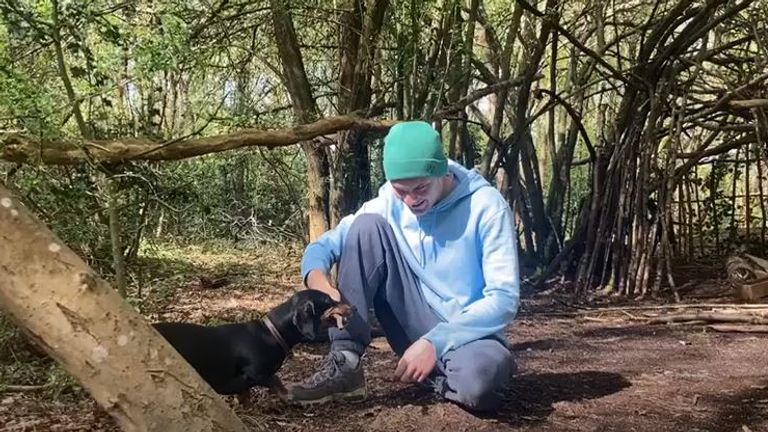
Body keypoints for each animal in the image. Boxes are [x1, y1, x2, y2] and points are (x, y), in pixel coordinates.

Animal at [151, 290, 354, 402]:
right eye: (328, 301)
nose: (354, 308)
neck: (270, 333)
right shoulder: (256, 373)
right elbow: (275, 380)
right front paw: (287, 396)